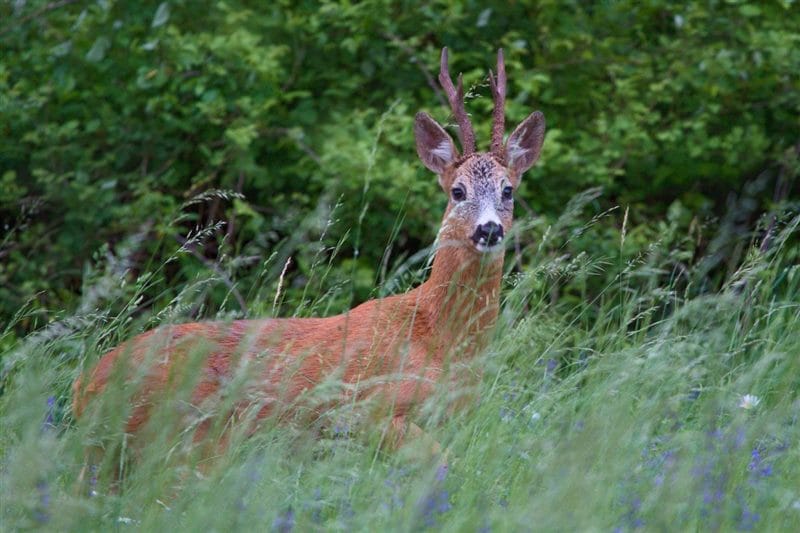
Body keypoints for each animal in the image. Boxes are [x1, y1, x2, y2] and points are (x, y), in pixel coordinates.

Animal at [73, 46, 544, 458]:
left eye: (508, 190)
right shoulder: (365, 409)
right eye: (457, 191)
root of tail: (83, 387)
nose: (489, 230)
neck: (441, 339)